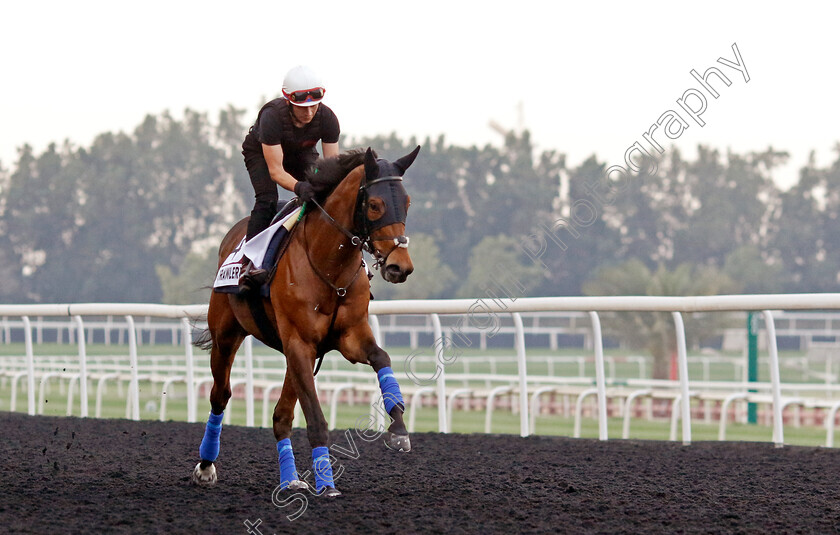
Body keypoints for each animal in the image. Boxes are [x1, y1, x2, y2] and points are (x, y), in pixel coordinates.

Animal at [189, 147, 418, 498]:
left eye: (406, 202)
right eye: (375, 205)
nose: (399, 267)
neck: (329, 264)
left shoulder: (349, 336)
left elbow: (381, 357)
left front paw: (399, 428)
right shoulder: (300, 341)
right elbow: (316, 418)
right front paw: (327, 484)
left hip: (294, 356)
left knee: (281, 415)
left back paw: (290, 479)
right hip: (228, 335)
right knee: (221, 395)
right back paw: (206, 465)